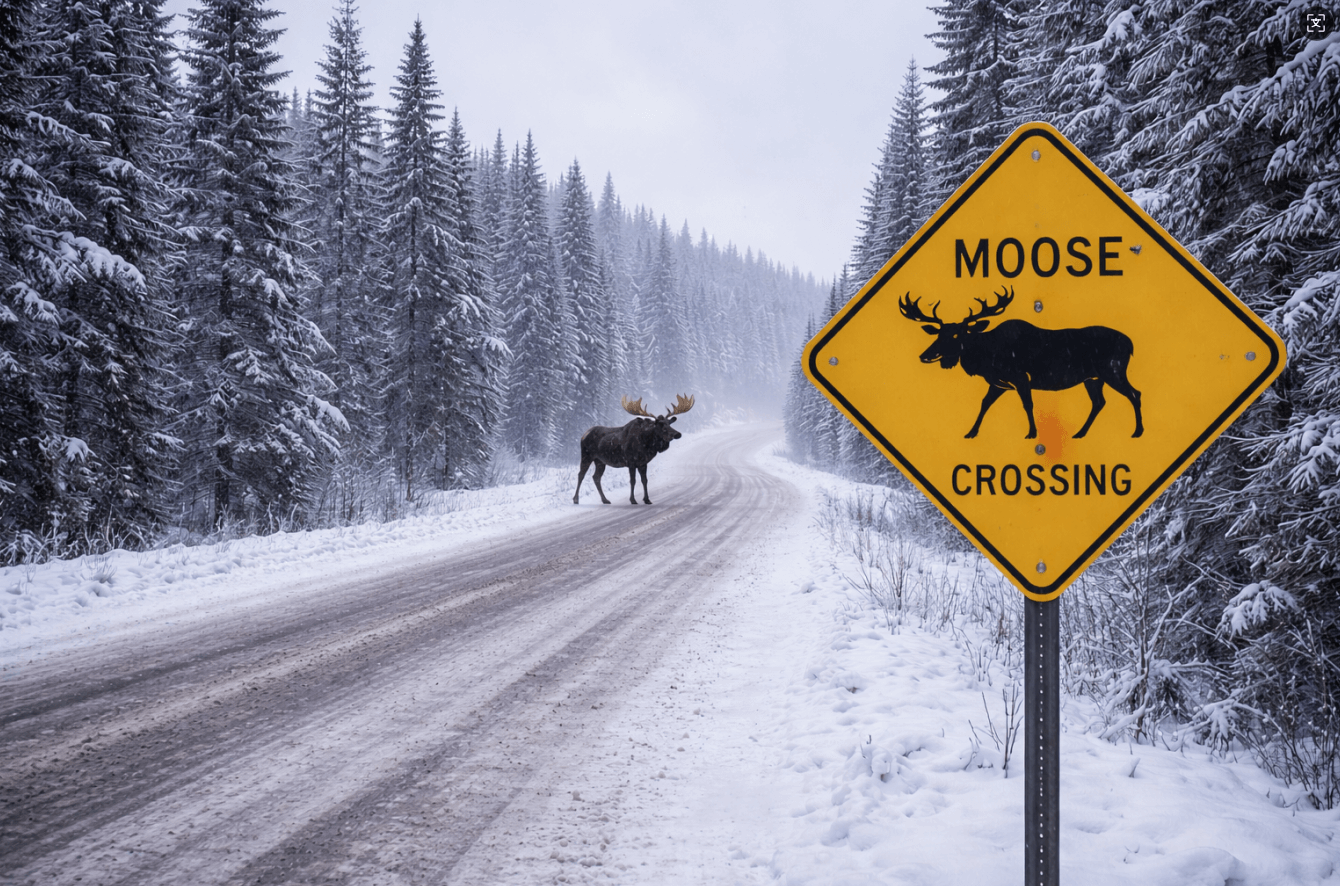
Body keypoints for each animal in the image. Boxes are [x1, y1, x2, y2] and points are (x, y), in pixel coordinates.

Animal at [898, 286, 1143, 439]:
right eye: (938, 334)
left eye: (958, 335)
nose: (924, 355)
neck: (986, 357)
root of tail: (1130, 343)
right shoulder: (998, 383)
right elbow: (984, 404)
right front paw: (971, 432)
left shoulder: (1020, 377)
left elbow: (1027, 404)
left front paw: (1032, 434)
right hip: (1093, 378)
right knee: (1099, 402)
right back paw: (1080, 433)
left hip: (1112, 370)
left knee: (1134, 393)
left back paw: (1137, 431)